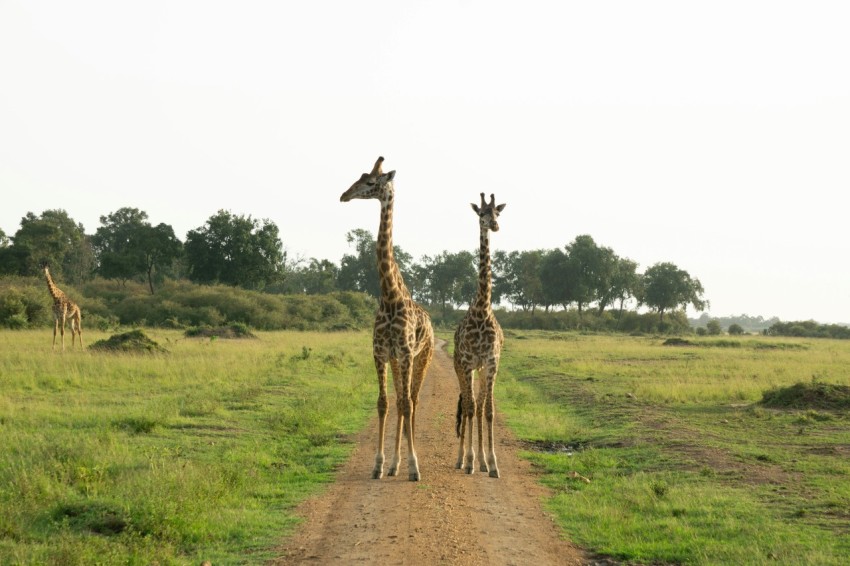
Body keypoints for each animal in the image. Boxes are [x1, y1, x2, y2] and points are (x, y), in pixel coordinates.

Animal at [338, 156, 434, 484]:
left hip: (421, 358)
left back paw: (407, 463)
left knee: (412, 402)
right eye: (358, 177)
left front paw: (414, 467)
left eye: (370, 182)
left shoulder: (404, 353)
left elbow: (404, 403)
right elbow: (384, 403)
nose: (344, 196)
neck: (390, 296)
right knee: (403, 402)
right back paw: (394, 464)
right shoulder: (381, 352)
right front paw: (379, 464)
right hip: (397, 361)